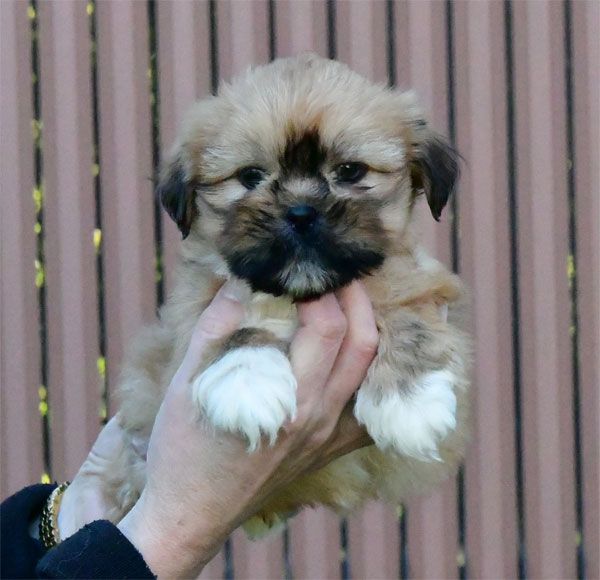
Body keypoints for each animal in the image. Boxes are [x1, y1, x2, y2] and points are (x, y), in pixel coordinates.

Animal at [108, 53, 472, 536]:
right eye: (251, 177)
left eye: (350, 171)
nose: (301, 212)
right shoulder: (197, 311)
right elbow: (240, 325)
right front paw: (246, 377)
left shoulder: (419, 281)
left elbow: (408, 316)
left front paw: (409, 400)